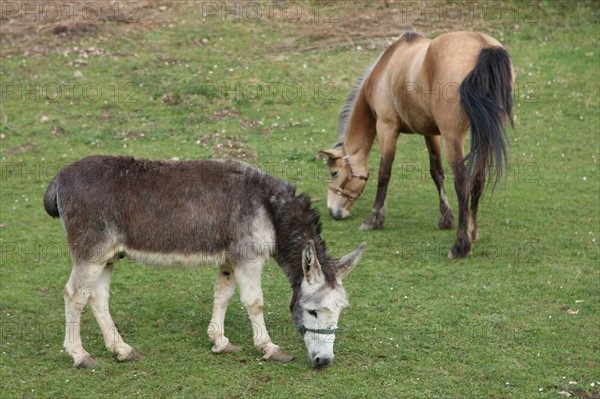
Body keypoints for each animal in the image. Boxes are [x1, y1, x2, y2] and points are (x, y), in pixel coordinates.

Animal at [322, 32, 512, 260]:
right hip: (484, 136)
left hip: (453, 139)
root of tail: (482, 45)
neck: (383, 70)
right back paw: (472, 232)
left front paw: (374, 218)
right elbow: (436, 172)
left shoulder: (387, 127)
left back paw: (460, 245)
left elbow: (384, 173)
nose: (332, 210)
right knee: (477, 180)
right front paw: (445, 218)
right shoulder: (430, 133)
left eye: (334, 173)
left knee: (463, 184)